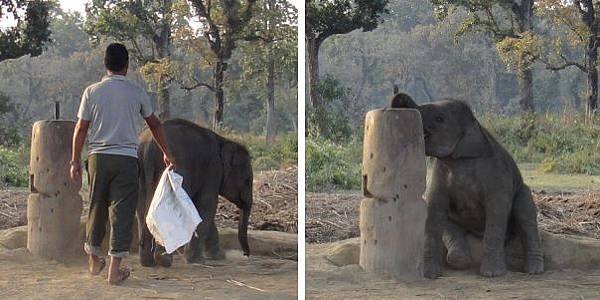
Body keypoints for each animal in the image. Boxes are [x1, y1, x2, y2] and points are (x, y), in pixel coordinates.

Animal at [390, 93, 544, 278]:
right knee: (450, 225)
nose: (398, 96)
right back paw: (459, 261)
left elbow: (497, 209)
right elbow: (434, 208)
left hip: (522, 194)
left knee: (525, 213)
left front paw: (492, 274)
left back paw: (534, 271)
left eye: (439, 118)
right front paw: (429, 275)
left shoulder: (496, 175)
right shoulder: (439, 173)